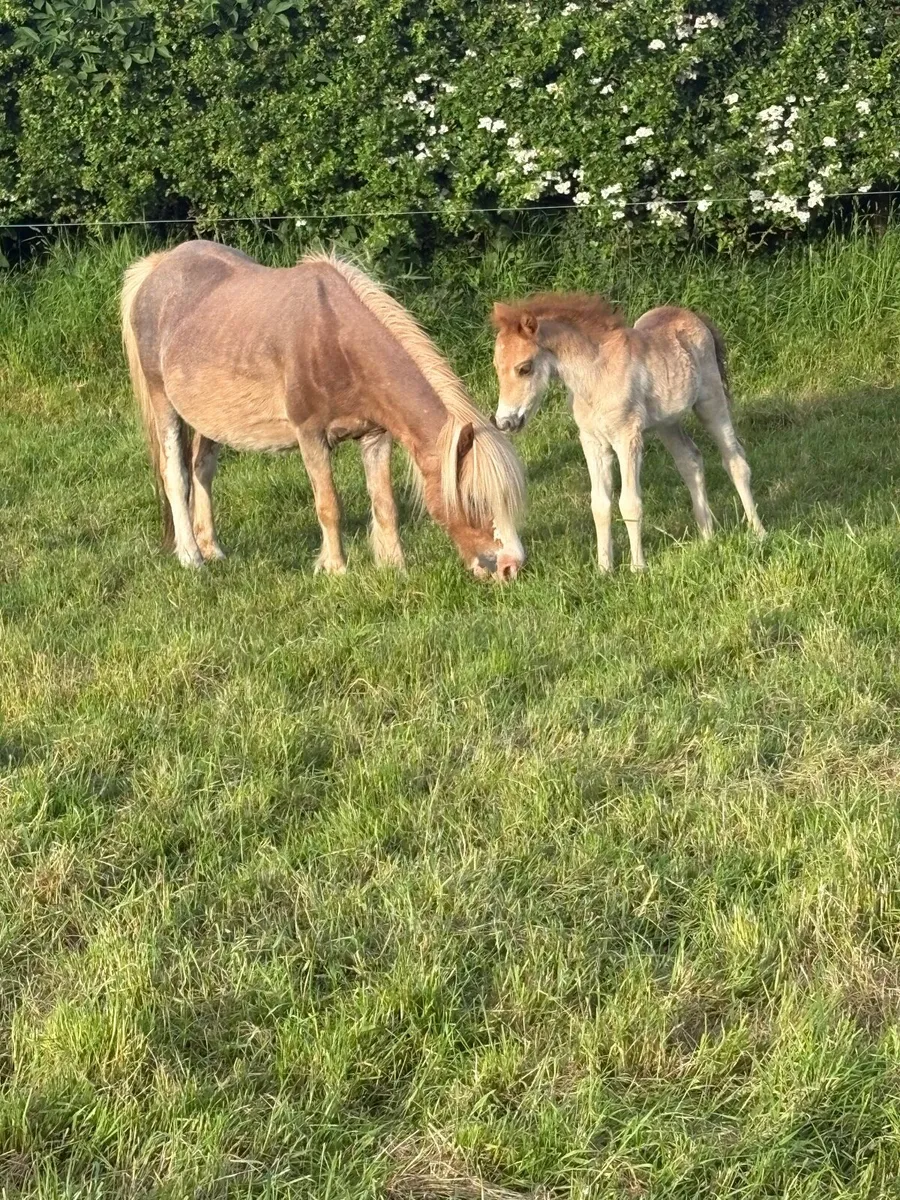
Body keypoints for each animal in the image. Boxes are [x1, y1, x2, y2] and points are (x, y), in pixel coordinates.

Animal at [120, 240, 526, 581]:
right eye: (473, 499)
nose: (509, 568)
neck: (336, 341)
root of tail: (157, 267)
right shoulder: (311, 436)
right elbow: (328, 505)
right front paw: (335, 569)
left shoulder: (375, 437)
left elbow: (385, 503)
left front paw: (394, 566)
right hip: (163, 402)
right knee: (176, 474)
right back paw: (191, 557)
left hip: (210, 418)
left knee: (201, 470)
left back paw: (212, 549)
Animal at [490, 293, 765, 572]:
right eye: (496, 367)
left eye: (525, 368)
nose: (504, 422)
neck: (595, 376)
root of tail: (693, 316)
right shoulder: (593, 442)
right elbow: (600, 504)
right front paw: (604, 569)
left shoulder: (627, 438)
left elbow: (630, 503)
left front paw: (638, 568)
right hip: (666, 423)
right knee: (690, 461)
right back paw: (707, 536)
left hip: (710, 402)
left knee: (735, 461)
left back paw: (758, 532)